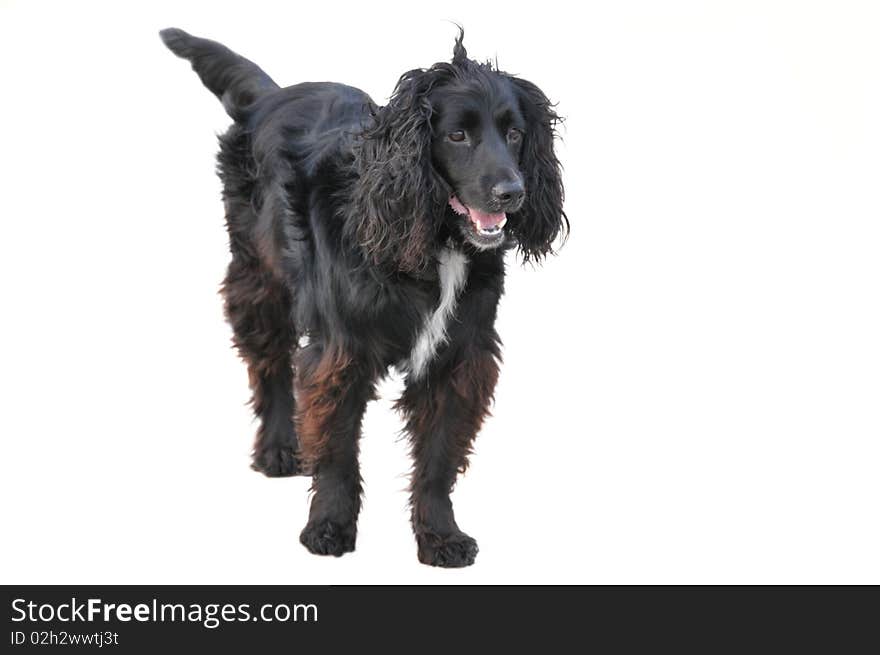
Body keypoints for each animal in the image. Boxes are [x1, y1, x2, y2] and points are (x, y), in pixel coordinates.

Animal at [161, 26, 568, 568]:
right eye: (456, 135)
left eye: (516, 134)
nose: (512, 192)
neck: (434, 239)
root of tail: (271, 95)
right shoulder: (342, 351)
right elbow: (335, 450)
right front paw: (328, 527)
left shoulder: (460, 357)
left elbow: (438, 458)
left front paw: (441, 535)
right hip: (259, 276)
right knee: (268, 364)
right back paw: (278, 448)